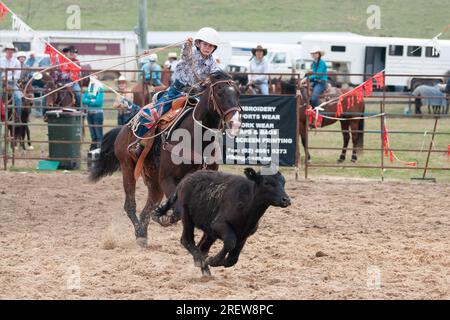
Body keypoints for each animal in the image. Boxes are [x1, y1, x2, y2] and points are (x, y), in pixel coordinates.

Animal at [89, 72, 241, 248]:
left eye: (238, 93)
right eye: (219, 92)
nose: (236, 123)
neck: (195, 138)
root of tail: (125, 127)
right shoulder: (167, 179)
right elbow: (178, 208)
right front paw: (165, 218)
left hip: (154, 180)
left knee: (148, 207)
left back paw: (142, 233)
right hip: (128, 167)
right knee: (130, 206)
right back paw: (141, 233)